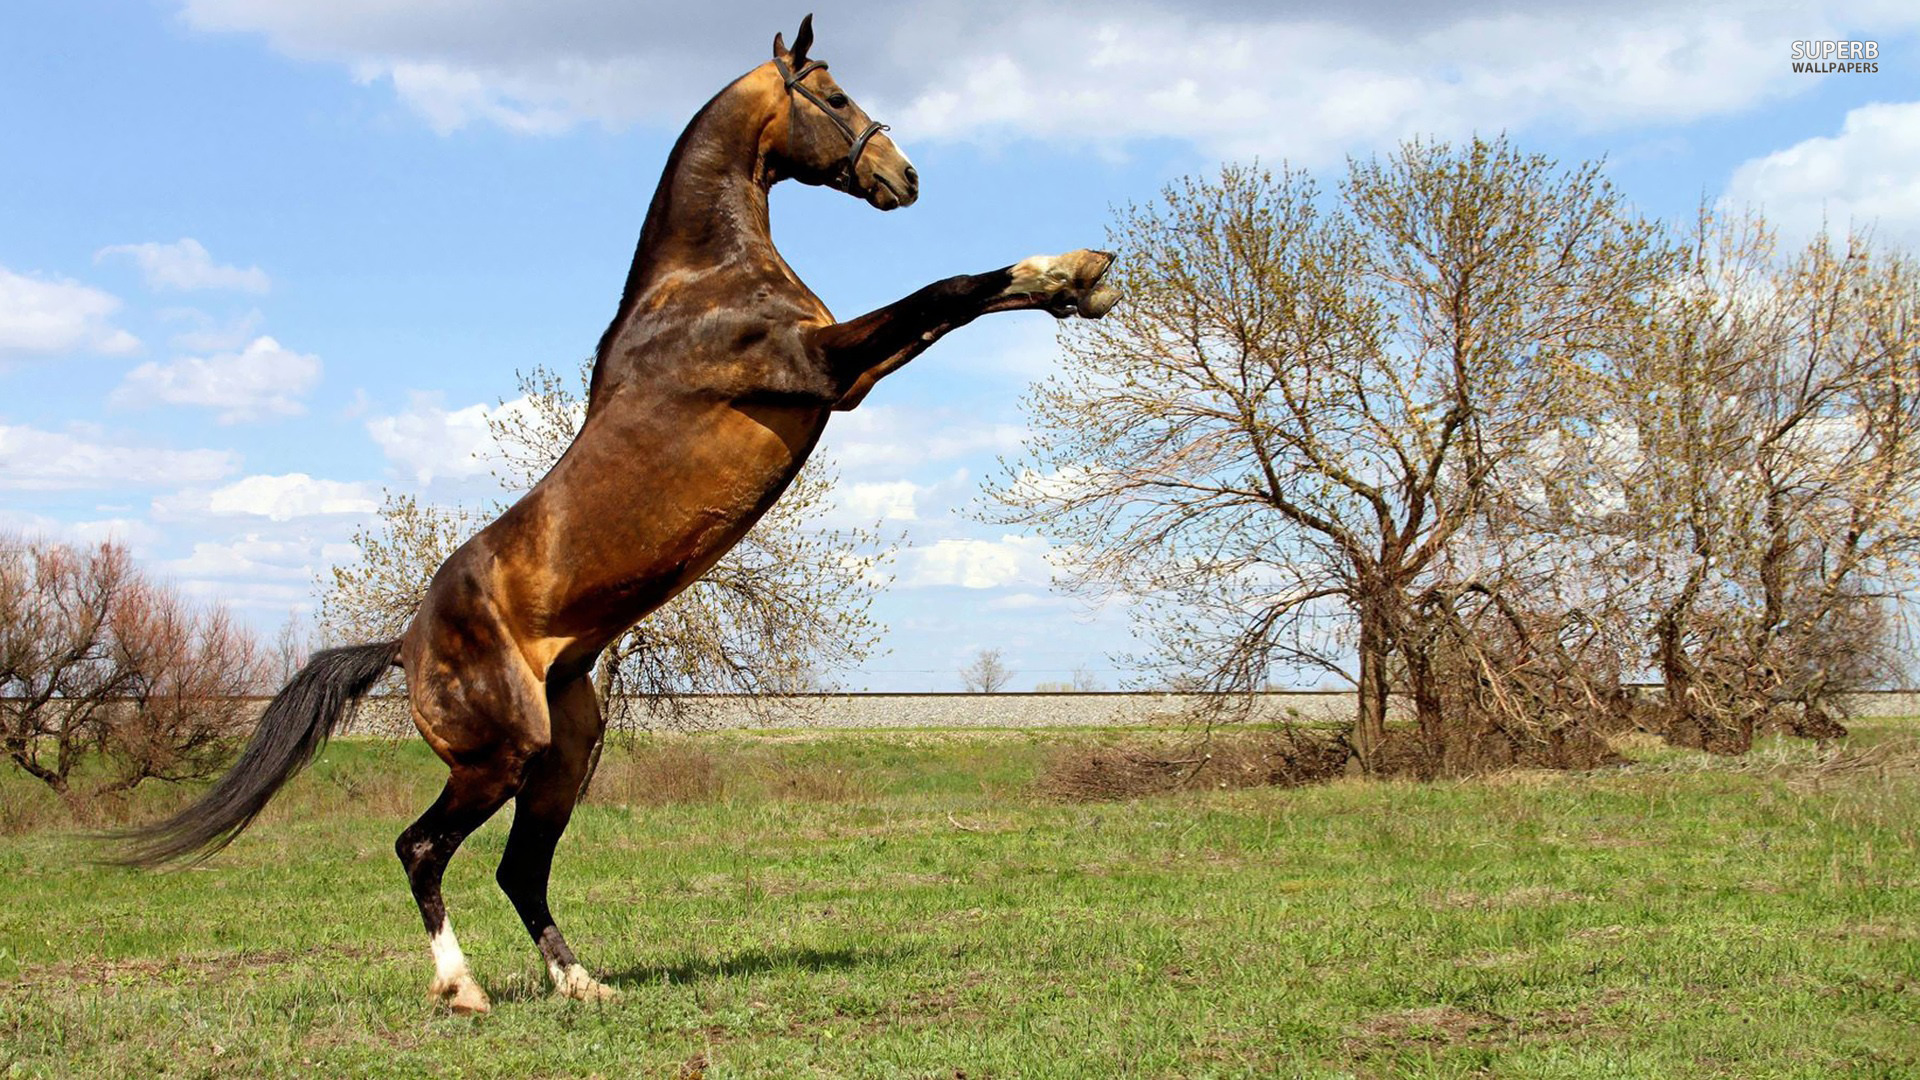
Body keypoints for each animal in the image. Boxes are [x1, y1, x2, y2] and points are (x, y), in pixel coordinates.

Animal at [119, 15, 1118, 1014]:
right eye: (834, 97)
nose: (904, 177)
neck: (704, 282)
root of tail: (402, 643)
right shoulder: (822, 368)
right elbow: (946, 292)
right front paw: (1074, 270)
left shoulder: (850, 377)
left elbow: (957, 304)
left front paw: (1079, 283)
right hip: (499, 754)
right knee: (421, 848)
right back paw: (463, 988)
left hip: (565, 754)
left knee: (519, 868)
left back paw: (581, 983)